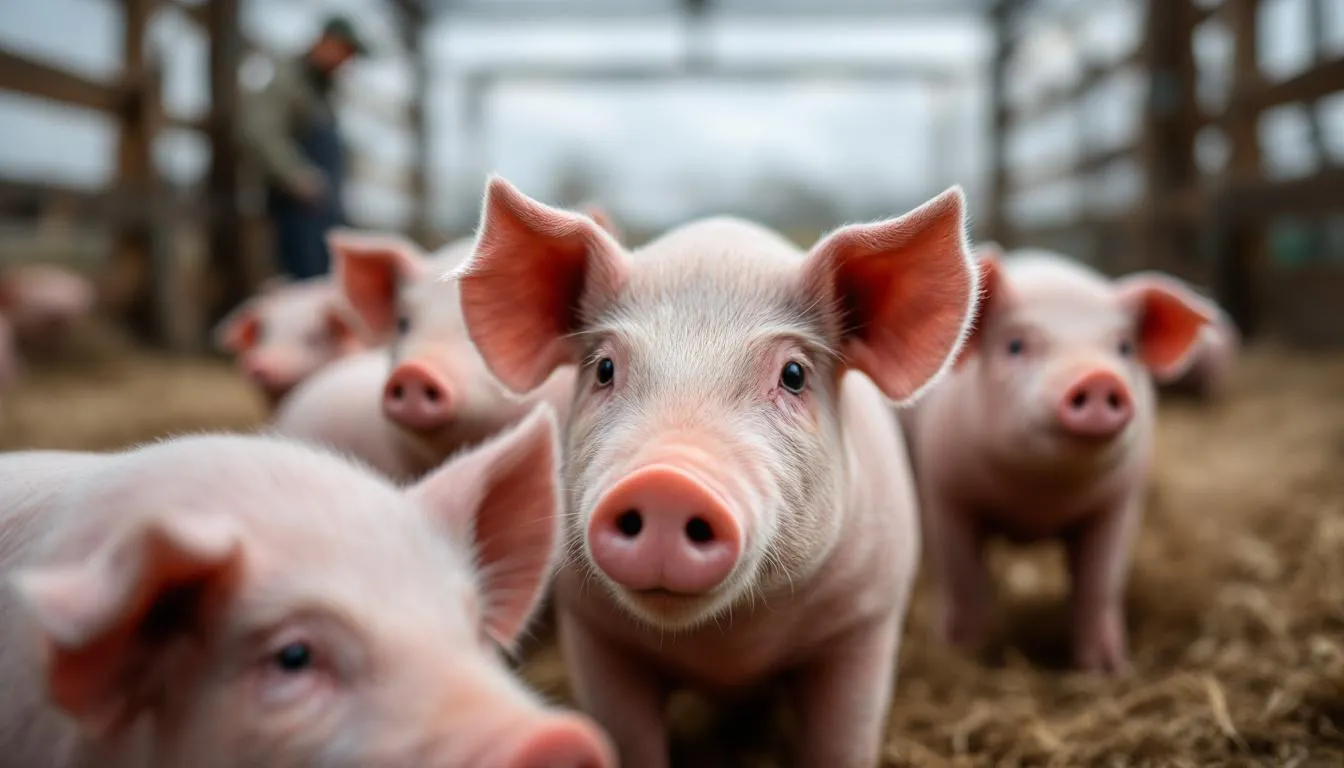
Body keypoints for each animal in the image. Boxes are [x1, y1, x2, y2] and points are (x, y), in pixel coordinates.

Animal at [453, 176, 982, 767]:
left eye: (794, 374)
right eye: (605, 369)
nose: (666, 482)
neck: (727, 649)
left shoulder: (865, 621)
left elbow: (843, 740)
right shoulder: (593, 633)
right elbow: (630, 739)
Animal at [904, 246, 1216, 674]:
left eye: (1124, 348)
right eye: (1015, 345)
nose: (1099, 378)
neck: (1041, 499)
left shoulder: (1119, 502)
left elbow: (1099, 583)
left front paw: (1108, 670)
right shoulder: (948, 492)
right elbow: (964, 578)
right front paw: (964, 652)